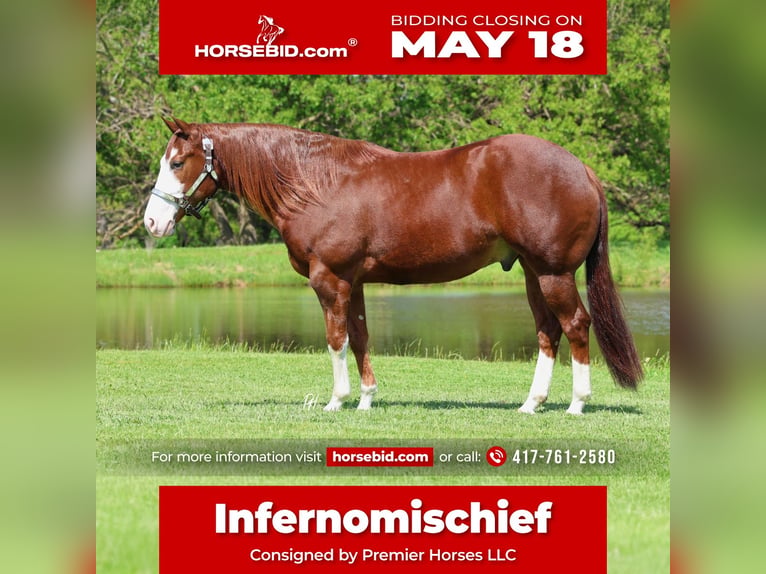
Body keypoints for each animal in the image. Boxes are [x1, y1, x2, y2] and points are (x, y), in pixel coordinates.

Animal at [144, 118, 643, 414]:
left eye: (178, 162)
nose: (152, 221)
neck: (317, 183)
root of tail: (581, 169)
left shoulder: (330, 280)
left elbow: (336, 340)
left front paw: (337, 400)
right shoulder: (355, 281)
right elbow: (361, 336)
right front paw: (366, 400)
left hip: (553, 272)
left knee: (575, 325)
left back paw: (577, 403)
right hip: (533, 273)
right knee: (548, 330)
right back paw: (531, 403)